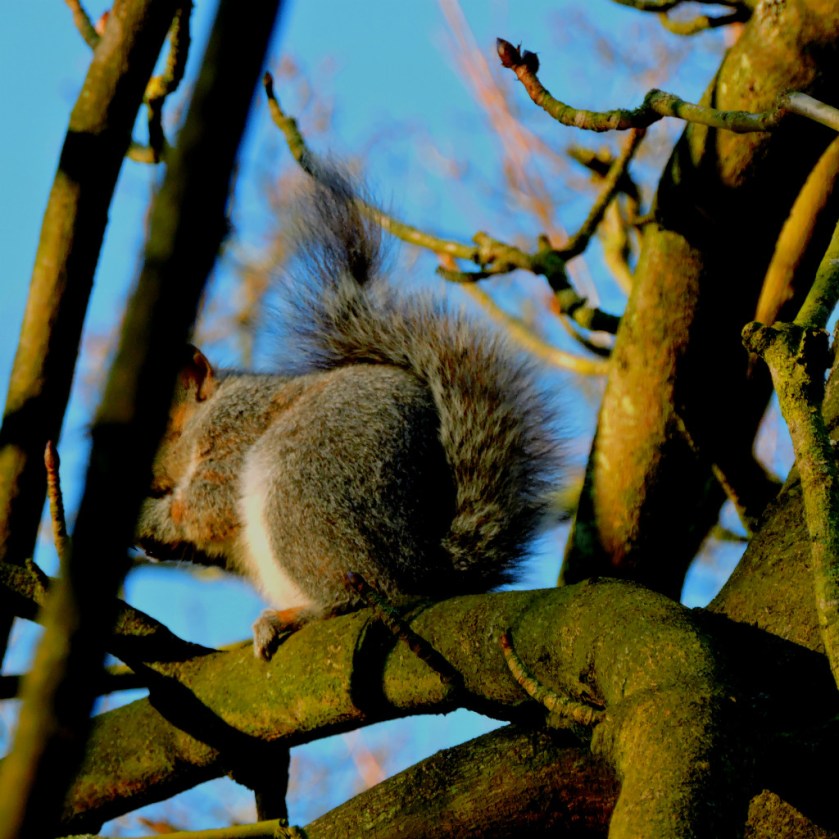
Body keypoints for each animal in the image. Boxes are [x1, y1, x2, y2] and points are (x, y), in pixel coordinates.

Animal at [134, 170, 562, 660]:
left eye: (159, 427)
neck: (212, 409)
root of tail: (423, 566)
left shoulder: (234, 432)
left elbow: (208, 503)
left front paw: (149, 516)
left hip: (304, 489)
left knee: (358, 591)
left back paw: (296, 616)